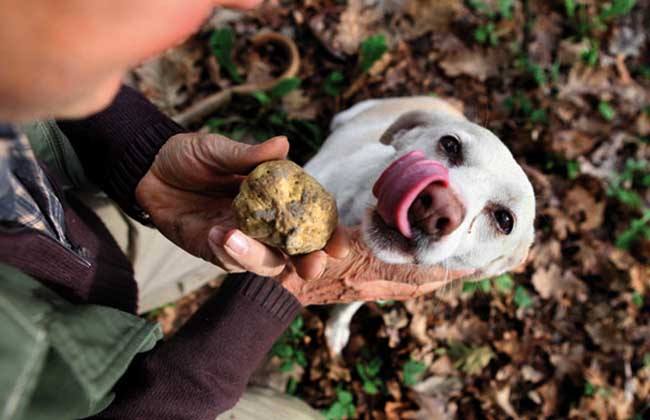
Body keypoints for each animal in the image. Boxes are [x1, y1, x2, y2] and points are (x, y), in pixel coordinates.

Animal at [302, 96, 532, 354]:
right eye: (450, 144)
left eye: (505, 220)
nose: (438, 206)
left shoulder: (367, 284)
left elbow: (347, 305)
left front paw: (337, 328)